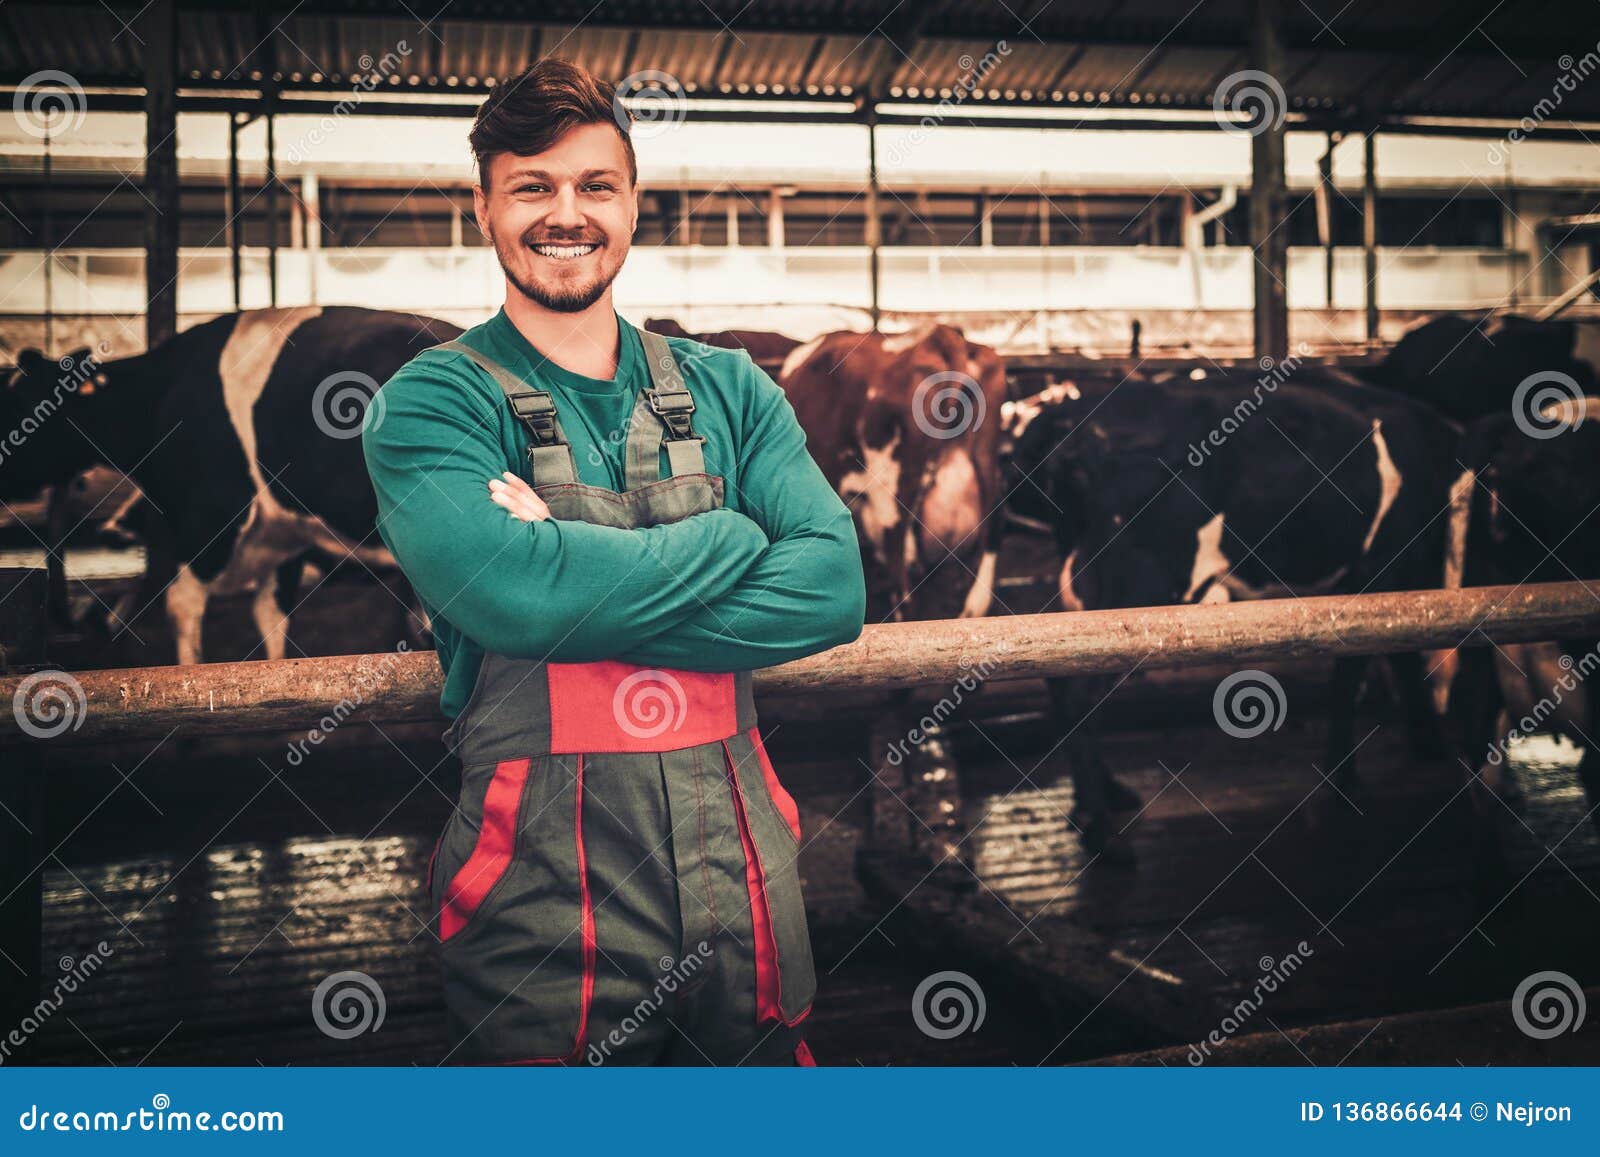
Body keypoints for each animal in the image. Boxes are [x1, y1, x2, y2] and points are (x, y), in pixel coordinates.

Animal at [1011, 368, 1465, 857]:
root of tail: (1069, 411)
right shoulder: (1381, 569)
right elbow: (1357, 675)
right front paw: (1347, 776)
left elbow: (1396, 660)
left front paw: (1422, 743)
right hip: (1130, 589)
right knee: (1078, 695)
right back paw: (1102, 834)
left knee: (1062, 683)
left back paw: (1103, 799)